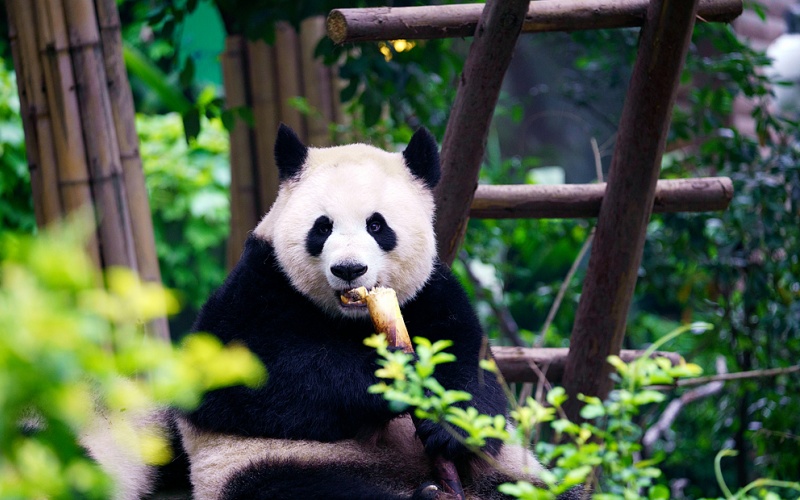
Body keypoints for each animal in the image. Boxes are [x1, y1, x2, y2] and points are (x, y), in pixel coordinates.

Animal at [172, 124, 578, 500]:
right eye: (322, 227)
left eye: (377, 225)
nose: (349, 269)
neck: (353, 318)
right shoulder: (257, 283)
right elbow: (236, 378)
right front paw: (393, 375)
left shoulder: (430, 292)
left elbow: (472, 367)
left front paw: (448, 427)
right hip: (268, 461)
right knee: (292, 488)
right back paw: (423, 495)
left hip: (513, 475)